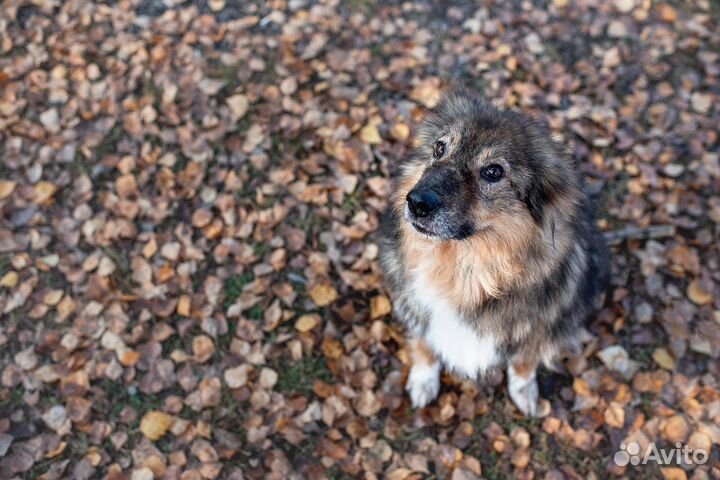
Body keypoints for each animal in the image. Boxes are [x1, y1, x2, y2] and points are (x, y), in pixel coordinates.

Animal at [380, 91, 612, 416]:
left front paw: (524, 390)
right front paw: (424, 378)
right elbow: (424, 342)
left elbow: (525, 360)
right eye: (439, 148)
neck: (466, 270)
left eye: (493, 172)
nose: (416, 202)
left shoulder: (540, 327)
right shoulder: (416, 306)